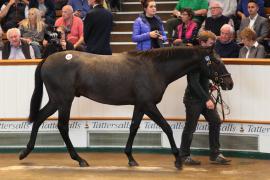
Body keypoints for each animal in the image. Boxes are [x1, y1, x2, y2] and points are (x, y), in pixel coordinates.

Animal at [19, 45, 234, 169]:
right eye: (216, 61)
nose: (229, 83)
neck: (154, 68)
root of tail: (47, 59)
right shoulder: (148, 104)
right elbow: (166, 127)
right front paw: (178, 160)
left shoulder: (140, 105)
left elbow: (133, 127)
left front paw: (130, 158)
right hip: (64, 100)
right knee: (62, 126)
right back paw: (79, 159)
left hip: (56, 100)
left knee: (39, 118)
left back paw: (25, 152)